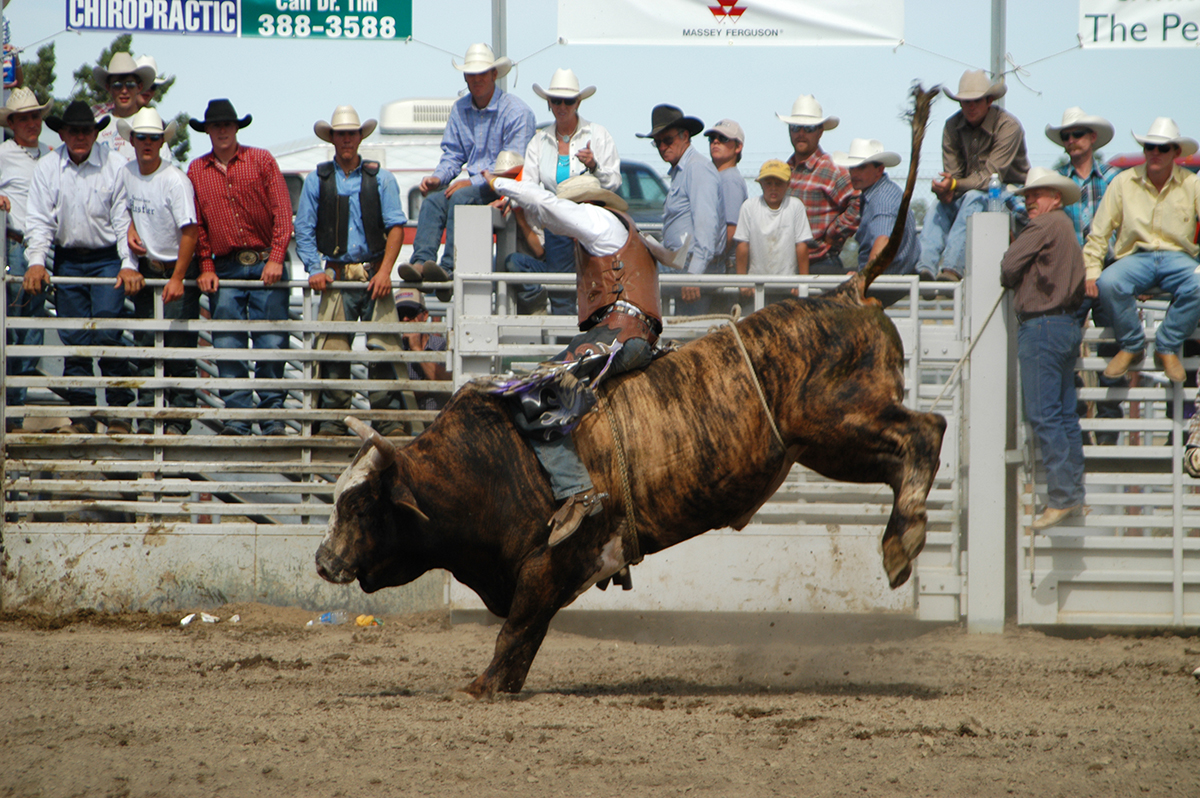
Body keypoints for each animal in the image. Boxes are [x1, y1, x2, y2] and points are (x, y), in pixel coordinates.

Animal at [316, 87, 946, 698]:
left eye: (361, 504)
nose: (324, 561)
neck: (482, 463)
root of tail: (848, 289)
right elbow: (521, 638)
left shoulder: (549, 565)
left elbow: (517, 632)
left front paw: (479, 687)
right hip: (827, 444)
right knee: (910, 447)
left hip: (838, 421)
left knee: (925, 432)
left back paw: (904, 540)